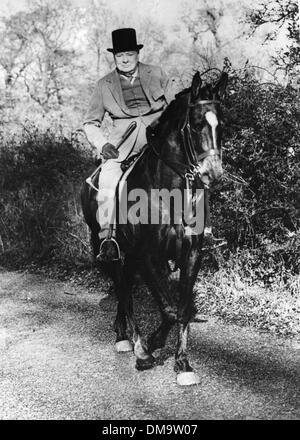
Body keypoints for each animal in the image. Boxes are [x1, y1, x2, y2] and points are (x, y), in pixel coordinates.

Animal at [81, 71, 226, 384]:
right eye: (196, 124)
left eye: (222, 123)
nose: (213, 173)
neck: (168, 192)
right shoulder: (147, 255)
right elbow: (168, 310)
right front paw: (148, 348)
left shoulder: (191, 255)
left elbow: (181, 310)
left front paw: (183, 364)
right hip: (109, 249)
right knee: (122, 288)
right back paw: (128, 341)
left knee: (125, 287)